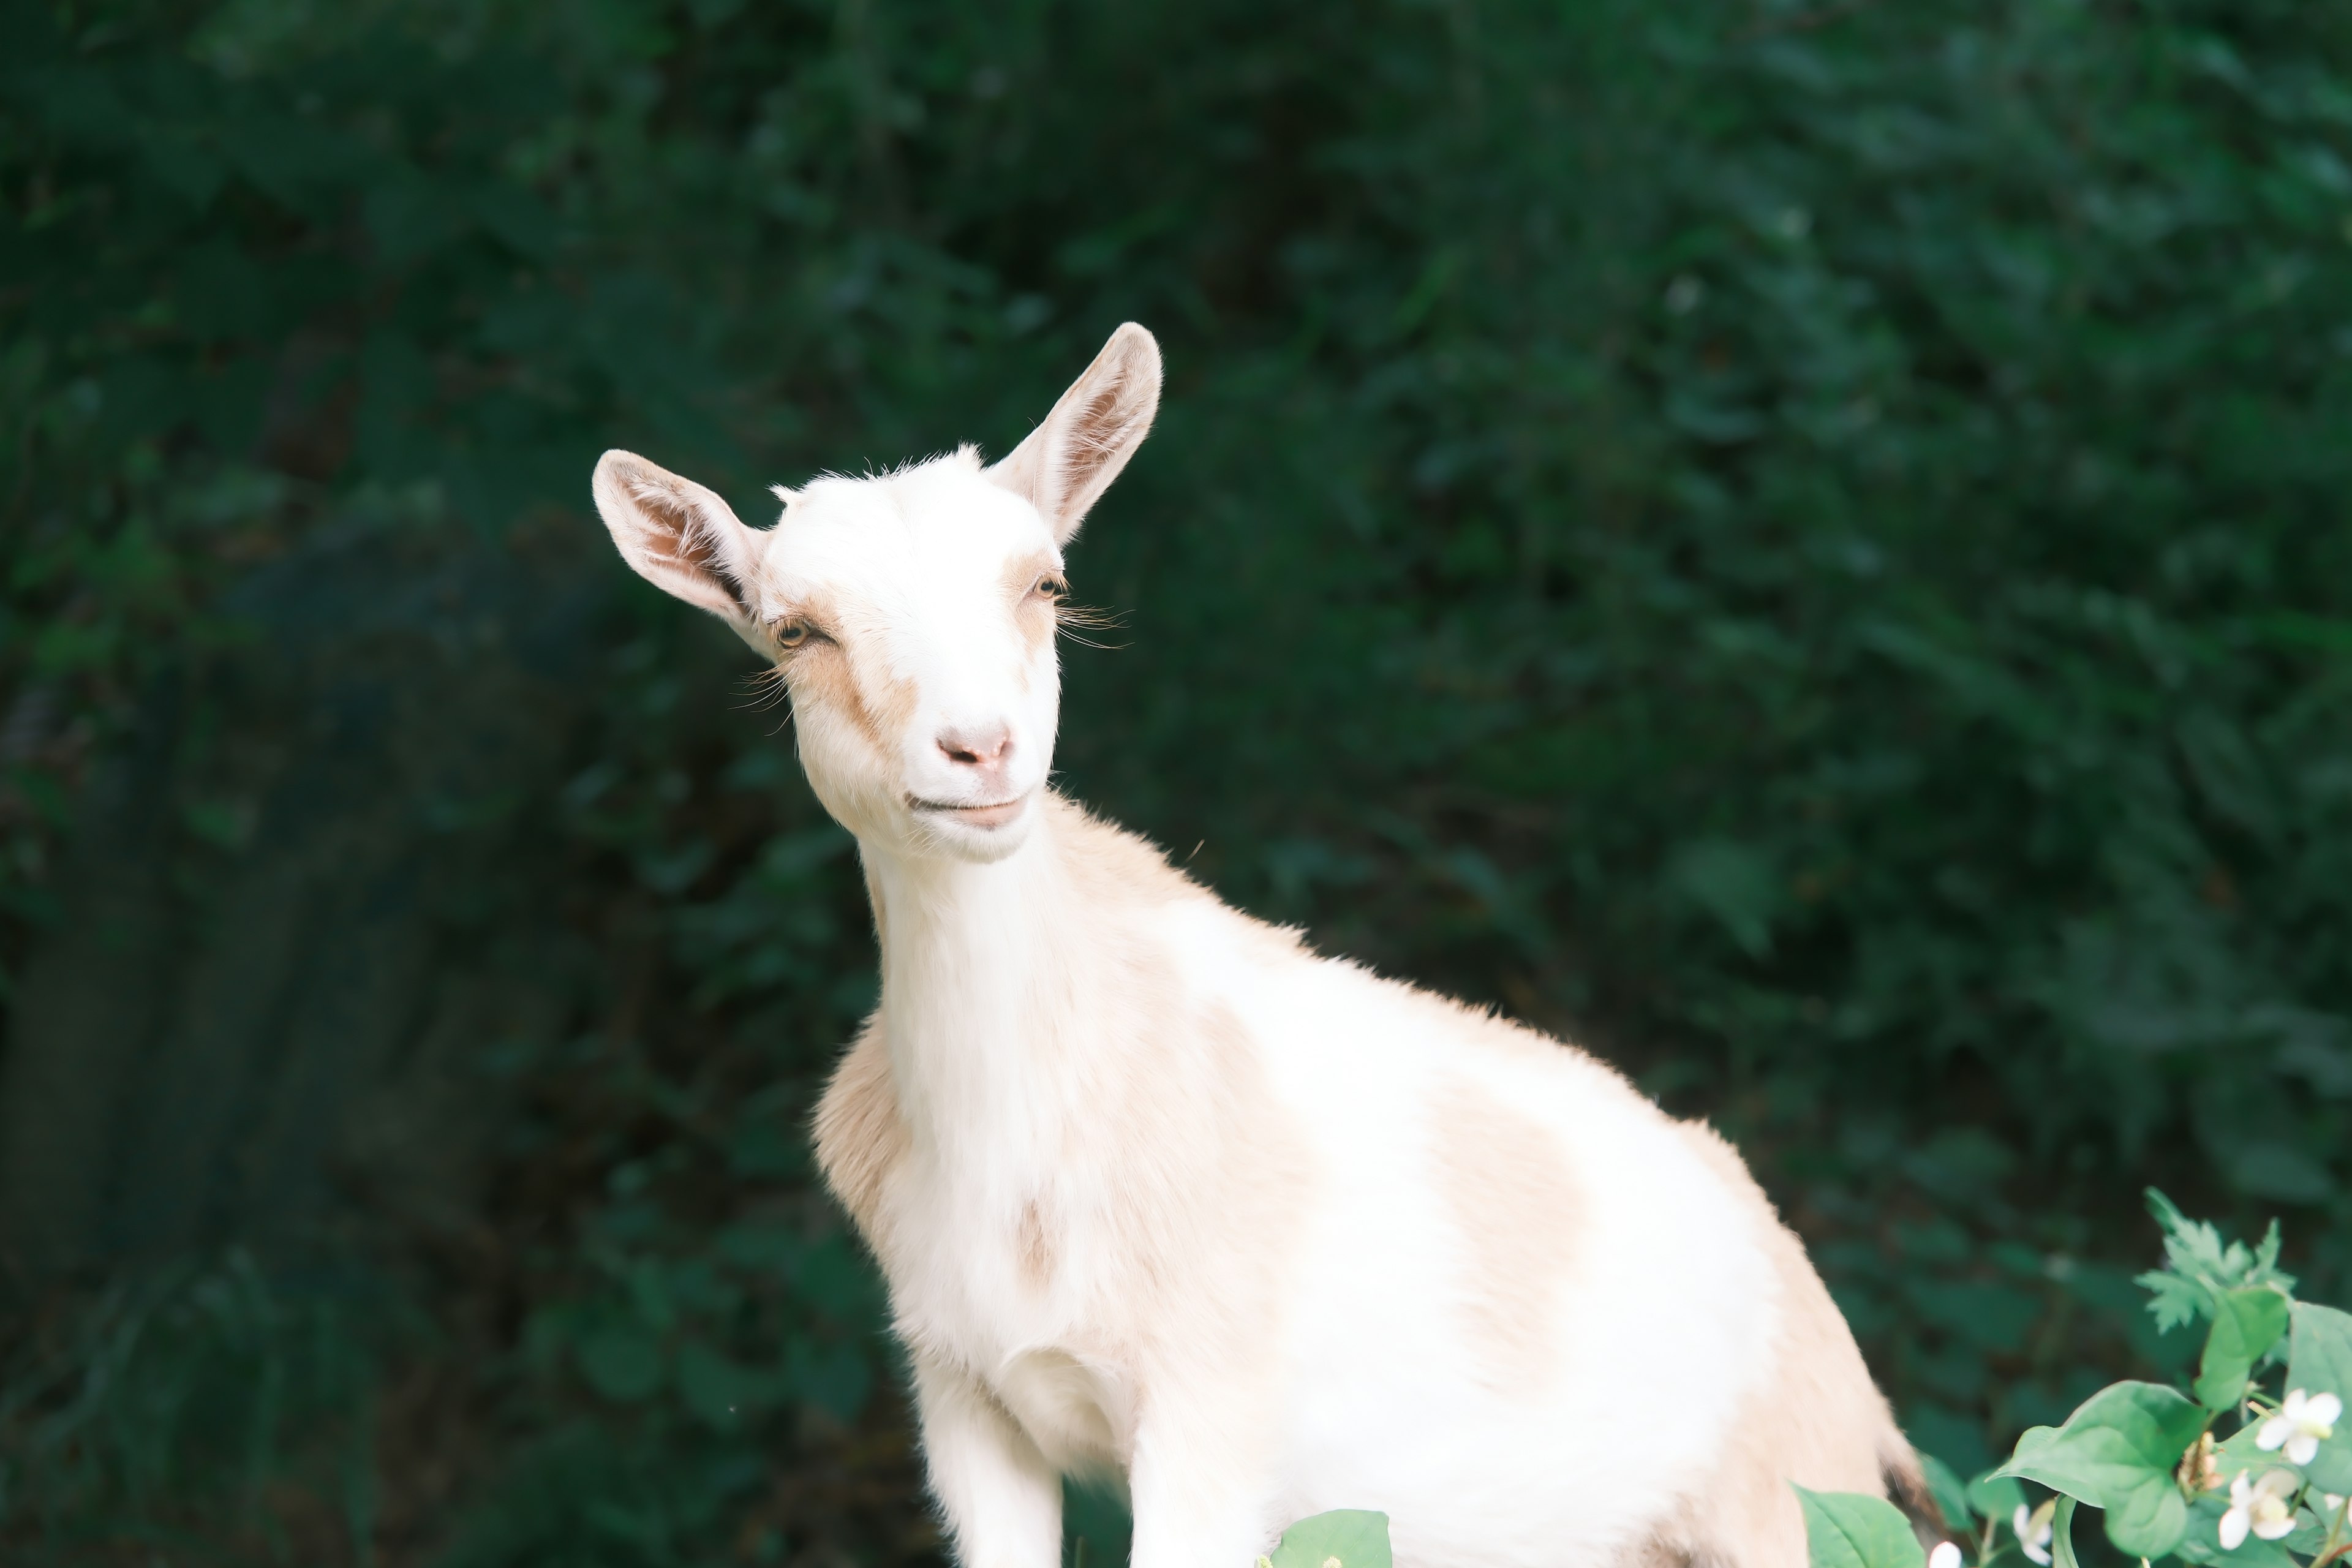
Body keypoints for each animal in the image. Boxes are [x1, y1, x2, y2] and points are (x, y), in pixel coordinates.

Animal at [592, 322, 1928, 1568]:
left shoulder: (1214, 1414)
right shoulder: (966, 1396)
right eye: (796, 631)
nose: (980, 748)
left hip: (1795, 1503)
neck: (1021, 1141)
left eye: (1044, 584)